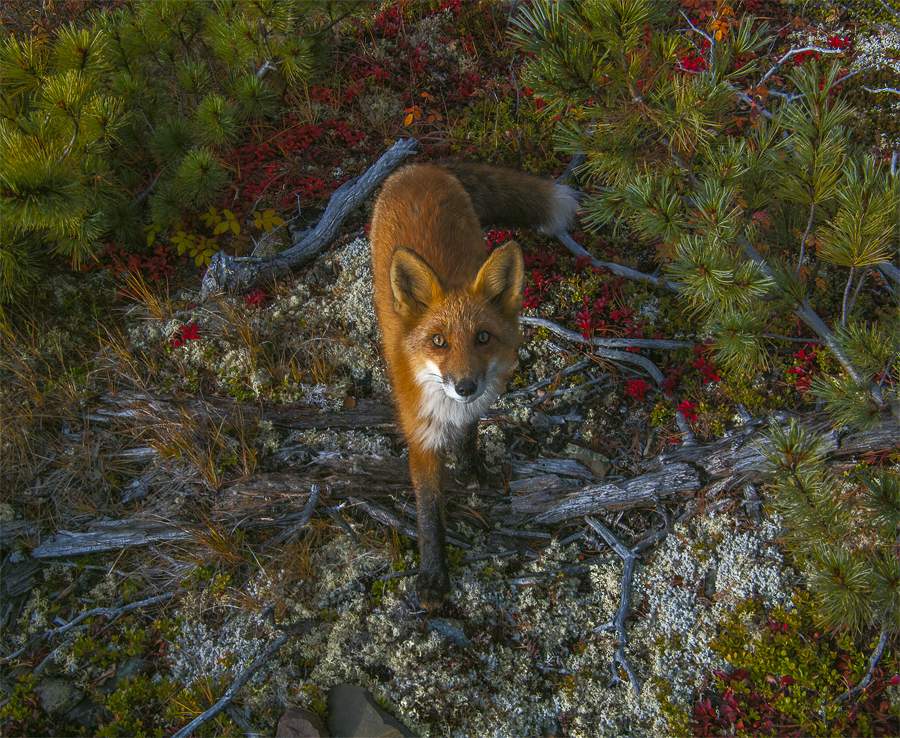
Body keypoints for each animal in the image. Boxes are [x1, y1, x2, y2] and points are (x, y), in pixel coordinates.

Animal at [369, 161, 578, 610]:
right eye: (438, 342)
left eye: (483, 337)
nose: (465, 386)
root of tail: (420, 167)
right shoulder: (421, 435)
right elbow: (429, 511)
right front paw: (433, 576)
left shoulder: (474, 408)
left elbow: (469, 436)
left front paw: (472, 469)